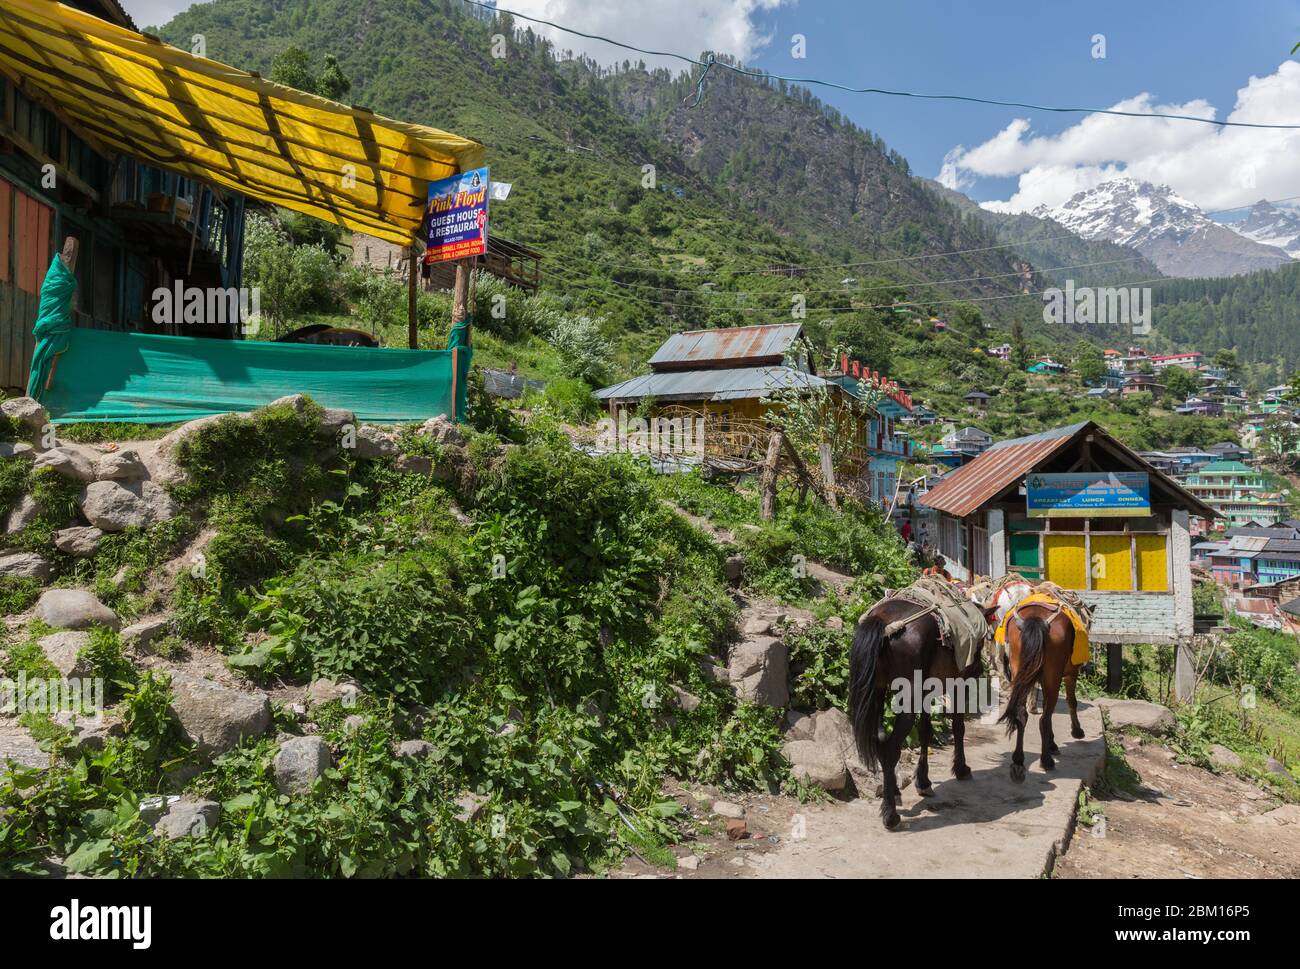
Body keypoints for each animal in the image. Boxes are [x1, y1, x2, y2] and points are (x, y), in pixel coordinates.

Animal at [847, 593, 977, 827]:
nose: (980, 668)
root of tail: (883, 621)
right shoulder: (958, 683)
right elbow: (958, 726)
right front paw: (961, 769)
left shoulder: (926, 690)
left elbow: (926, 731)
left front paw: (923, 781)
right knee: (891, 748)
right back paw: (890, 814)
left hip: (878, 691)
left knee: (880, 741)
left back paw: (893, 792)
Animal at [993, 600, 1086, 780]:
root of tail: (1036, 619)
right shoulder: (1071, 673)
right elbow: (1071, 701)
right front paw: (1076, 731)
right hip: (1052, 676)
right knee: (1045, 718)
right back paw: (1046, 760)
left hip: (1019, 671)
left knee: (1021, 714)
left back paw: (1018, 760)